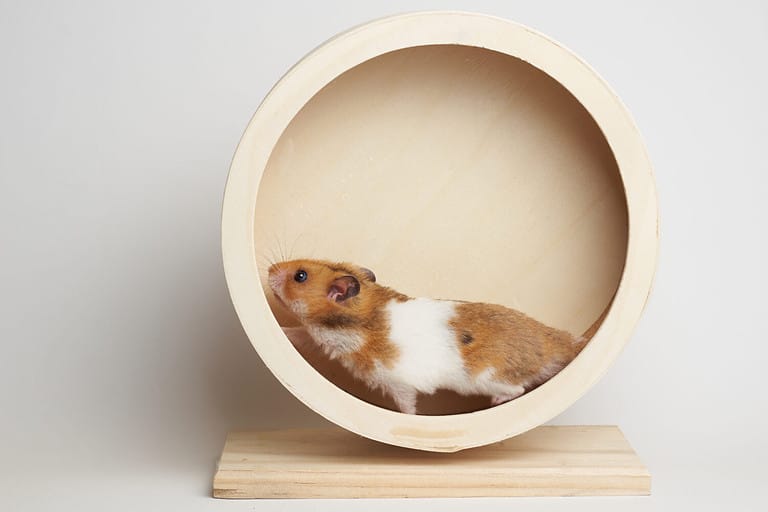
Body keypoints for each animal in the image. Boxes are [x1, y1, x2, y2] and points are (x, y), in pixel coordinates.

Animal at [268, 258, 597, 415]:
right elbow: (298, 333)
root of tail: (560, 343)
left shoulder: (397, 383)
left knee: (517, 390)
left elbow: (407, 405)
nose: (269, 269)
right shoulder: (318, 338)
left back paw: (495, 402)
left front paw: (409, 419)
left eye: (300, 276)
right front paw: (278, 331)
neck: (361, 318)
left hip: (489, 377)